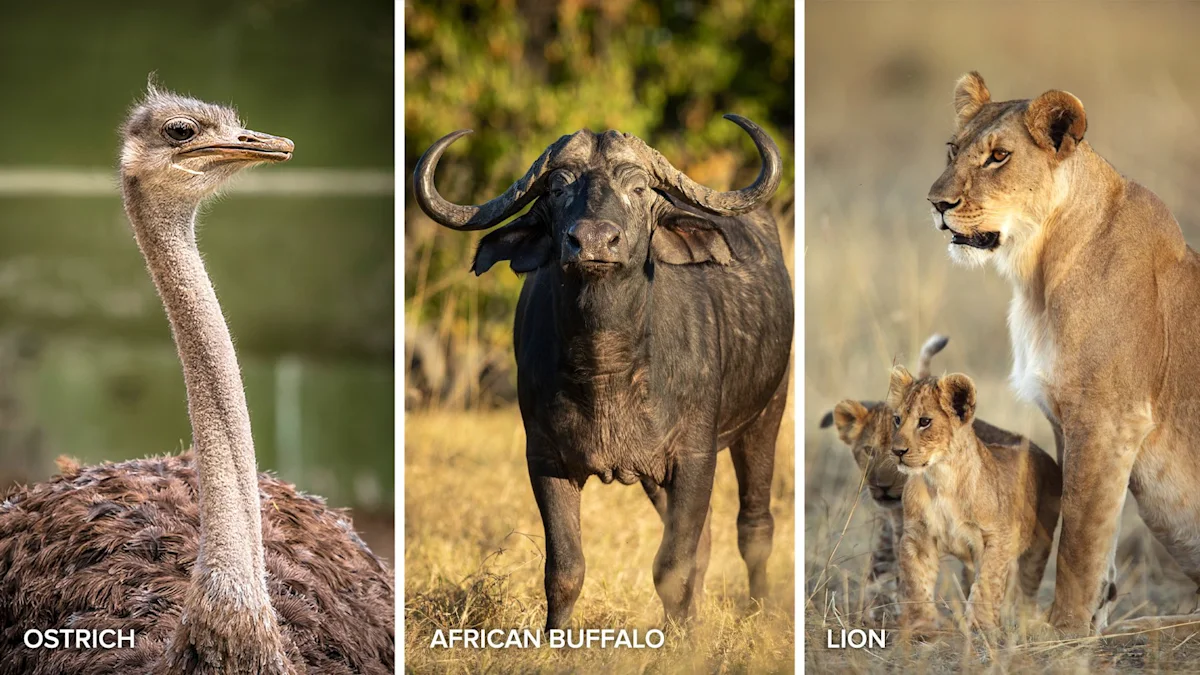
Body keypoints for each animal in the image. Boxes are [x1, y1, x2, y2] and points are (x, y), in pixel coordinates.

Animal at [413, 115, 793, 628]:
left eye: (637, 188)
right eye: (557, 188)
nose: (593, 241)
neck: (606, 367)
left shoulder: (694, 456)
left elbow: (673, 566)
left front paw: (681, 638)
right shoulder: (545, 459)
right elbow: (566, 569)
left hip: (767, 413)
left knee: (753, 524)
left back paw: (760, 612)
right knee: (707, 537)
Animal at [887, 366, 1061, 634]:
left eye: (924, 421)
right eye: (897, 419)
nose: (896, 451)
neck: (941, 479)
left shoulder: (998, 537)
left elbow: (988, 583)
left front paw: (980, 625)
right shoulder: (918, 537)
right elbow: (915, 582)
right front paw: (919, 625)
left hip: (1039, 545)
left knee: (1027, 588)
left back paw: (1026, 622)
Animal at [927, 71, 1200, 637]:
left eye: (998, 157)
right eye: (952, 149)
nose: (936, 204)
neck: (1037, 272)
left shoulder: (1105, 419)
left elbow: (1079, 535)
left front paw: (1061, 631)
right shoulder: (1063, 417)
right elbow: (1098, 536)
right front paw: (1089, 624)